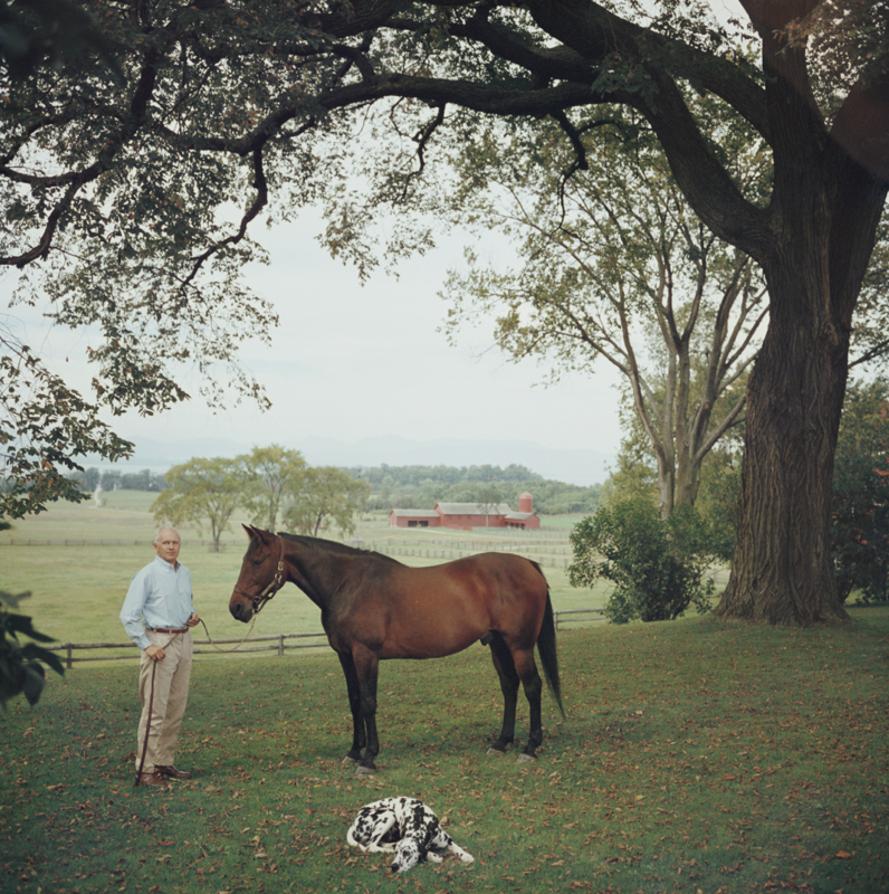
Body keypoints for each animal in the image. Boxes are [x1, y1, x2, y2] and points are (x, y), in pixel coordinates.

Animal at [227, 528, 560, 772]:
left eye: (257, 561)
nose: (237, 608)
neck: (348, 584)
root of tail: (529, 565)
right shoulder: (345, 656)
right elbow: (354, 701)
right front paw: (353, 751)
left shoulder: (365, 654)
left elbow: (368, 702)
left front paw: (369, 758)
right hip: (499, 644)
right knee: (510, 686)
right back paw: (502, 743)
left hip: (519, 646)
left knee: (532, 687)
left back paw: (530, 748)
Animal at [344, 800, 476, 876]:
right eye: (398, 853)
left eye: (406, 853)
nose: (393, 867)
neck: (422, 820)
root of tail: (355, 822)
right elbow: (428, 853)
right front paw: (433, 856)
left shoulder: (445, 838)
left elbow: (456, 847)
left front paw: (466, 856)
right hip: (389, 814)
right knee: (371, 846)